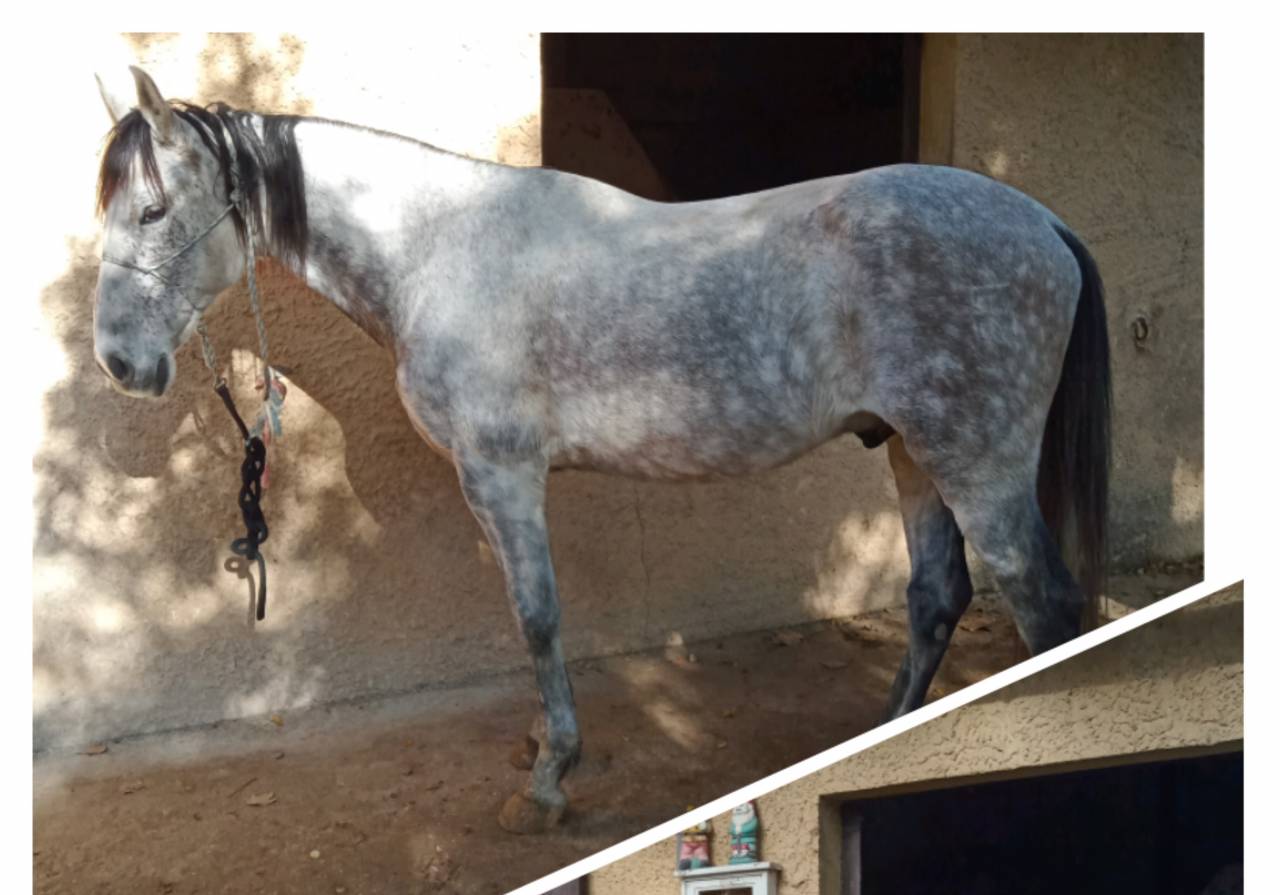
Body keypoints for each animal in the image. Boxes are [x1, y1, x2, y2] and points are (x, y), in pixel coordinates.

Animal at [91, 66, 1110, 834]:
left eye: (152, 211)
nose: (118, 362)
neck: (440, 249)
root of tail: (1044, 224)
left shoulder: (502, 474)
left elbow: (537, 616)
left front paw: (549, 778)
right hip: (912, 452)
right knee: (938, 595)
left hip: (977, 463)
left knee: (1043, 605)